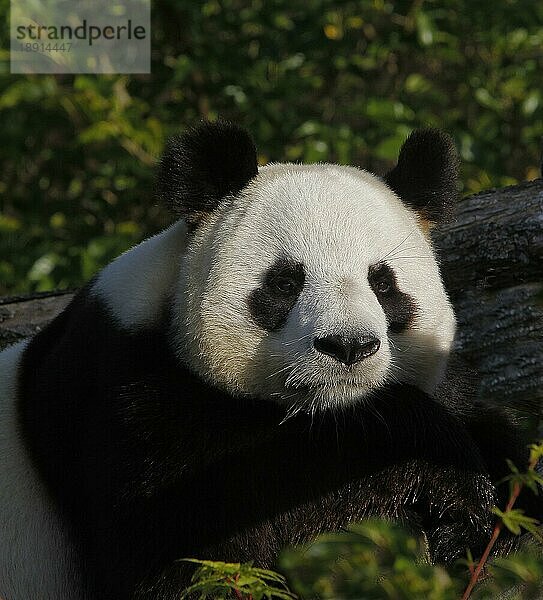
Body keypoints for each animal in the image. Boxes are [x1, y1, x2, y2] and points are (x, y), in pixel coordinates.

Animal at [0, 119, 536, 596]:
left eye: (383, 284)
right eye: (284, 283)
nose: (348, 346)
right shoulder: (127, 398)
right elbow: (189, 542)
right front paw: (448, 480)